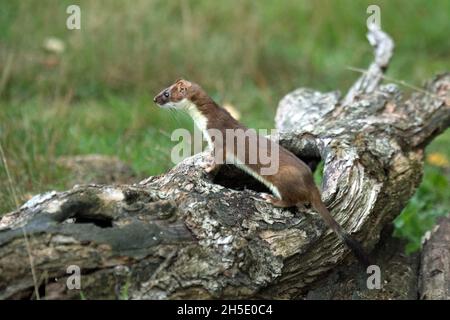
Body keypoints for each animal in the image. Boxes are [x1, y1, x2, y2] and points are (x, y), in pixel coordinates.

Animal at [154, 79, 370, 266]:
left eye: (166, 93)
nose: (154, 99)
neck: (204, 121)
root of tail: (311, 183)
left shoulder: (220, 140)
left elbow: (218, 159)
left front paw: (207, 166)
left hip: (282, 180)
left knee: (291, 200)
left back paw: (270, 199)